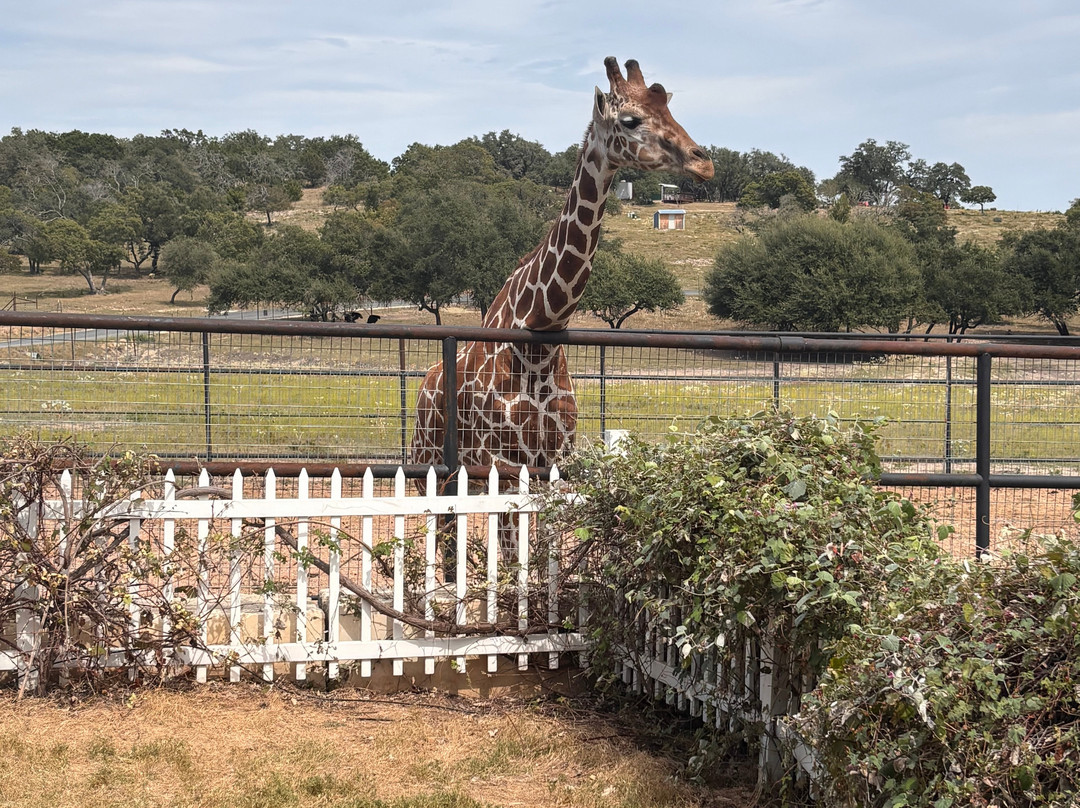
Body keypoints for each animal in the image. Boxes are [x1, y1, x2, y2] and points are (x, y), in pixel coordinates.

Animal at [411, 56, 714, 474]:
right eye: (631, 120)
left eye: (669, 109)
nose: (705, 164)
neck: (541, 335)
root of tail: (426, 383)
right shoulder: (499, 460)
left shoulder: (555, 457)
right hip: (431, 462)